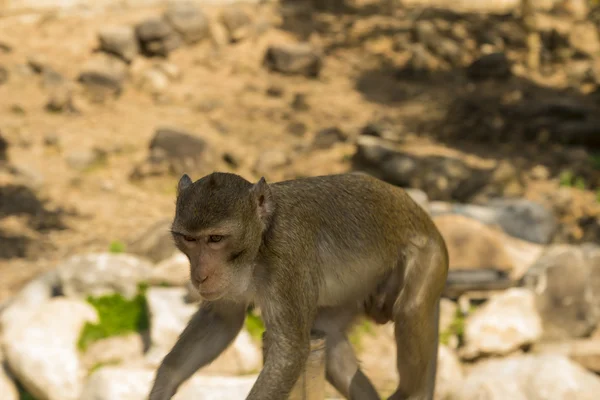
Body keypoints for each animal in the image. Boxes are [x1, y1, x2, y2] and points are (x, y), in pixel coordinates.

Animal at [149, 171, 450, 400]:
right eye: (188, 239)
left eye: (215, 239)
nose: (200, 275)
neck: (261, 241)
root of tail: (424, 217)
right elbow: (223, 320)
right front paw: (163, 384)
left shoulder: (288, 257)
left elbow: (290, 351)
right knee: (331, 338)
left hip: (429, 253)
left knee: (411, 308)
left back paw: (410, 393)